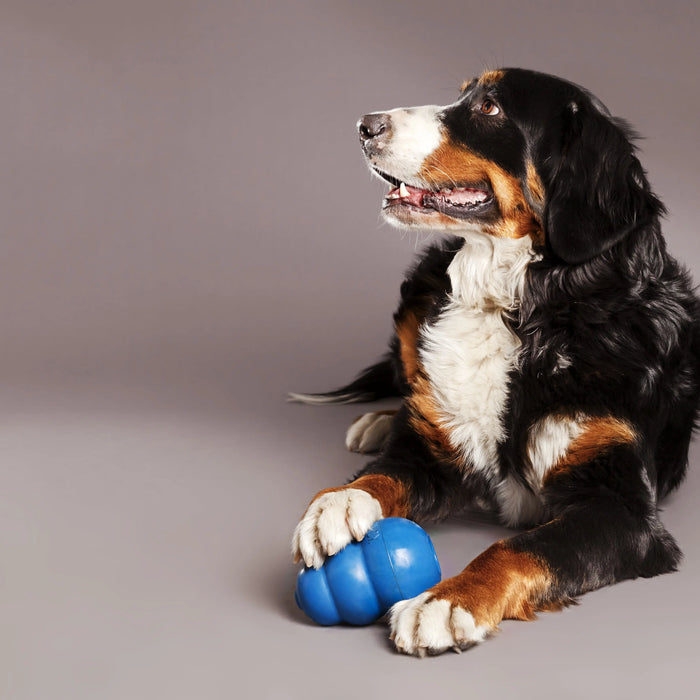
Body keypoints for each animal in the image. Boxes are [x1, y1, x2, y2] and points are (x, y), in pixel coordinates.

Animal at [288, 68, 696, 652]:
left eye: (489, 108)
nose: (365, 125)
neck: (519, 309)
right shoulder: (435, 453)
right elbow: (384, 474)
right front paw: (336, 505)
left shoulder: (621, 506)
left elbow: (520, 549)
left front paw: (446, 601)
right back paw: (381, 421)